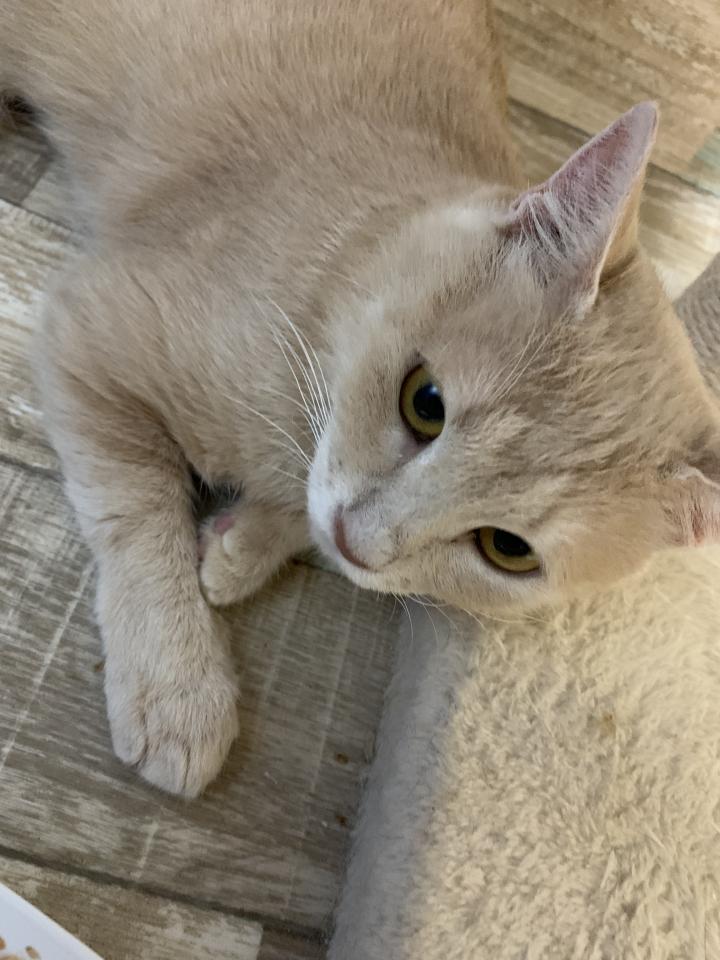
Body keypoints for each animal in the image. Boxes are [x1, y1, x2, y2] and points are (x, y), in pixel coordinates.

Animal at [2, 0, 718, 797]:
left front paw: (245, 546)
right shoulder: (85, 330)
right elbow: (135, 510)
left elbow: (298, 512)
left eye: (507, 550)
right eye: (424, 402)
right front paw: (176, 681)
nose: (360, 540)